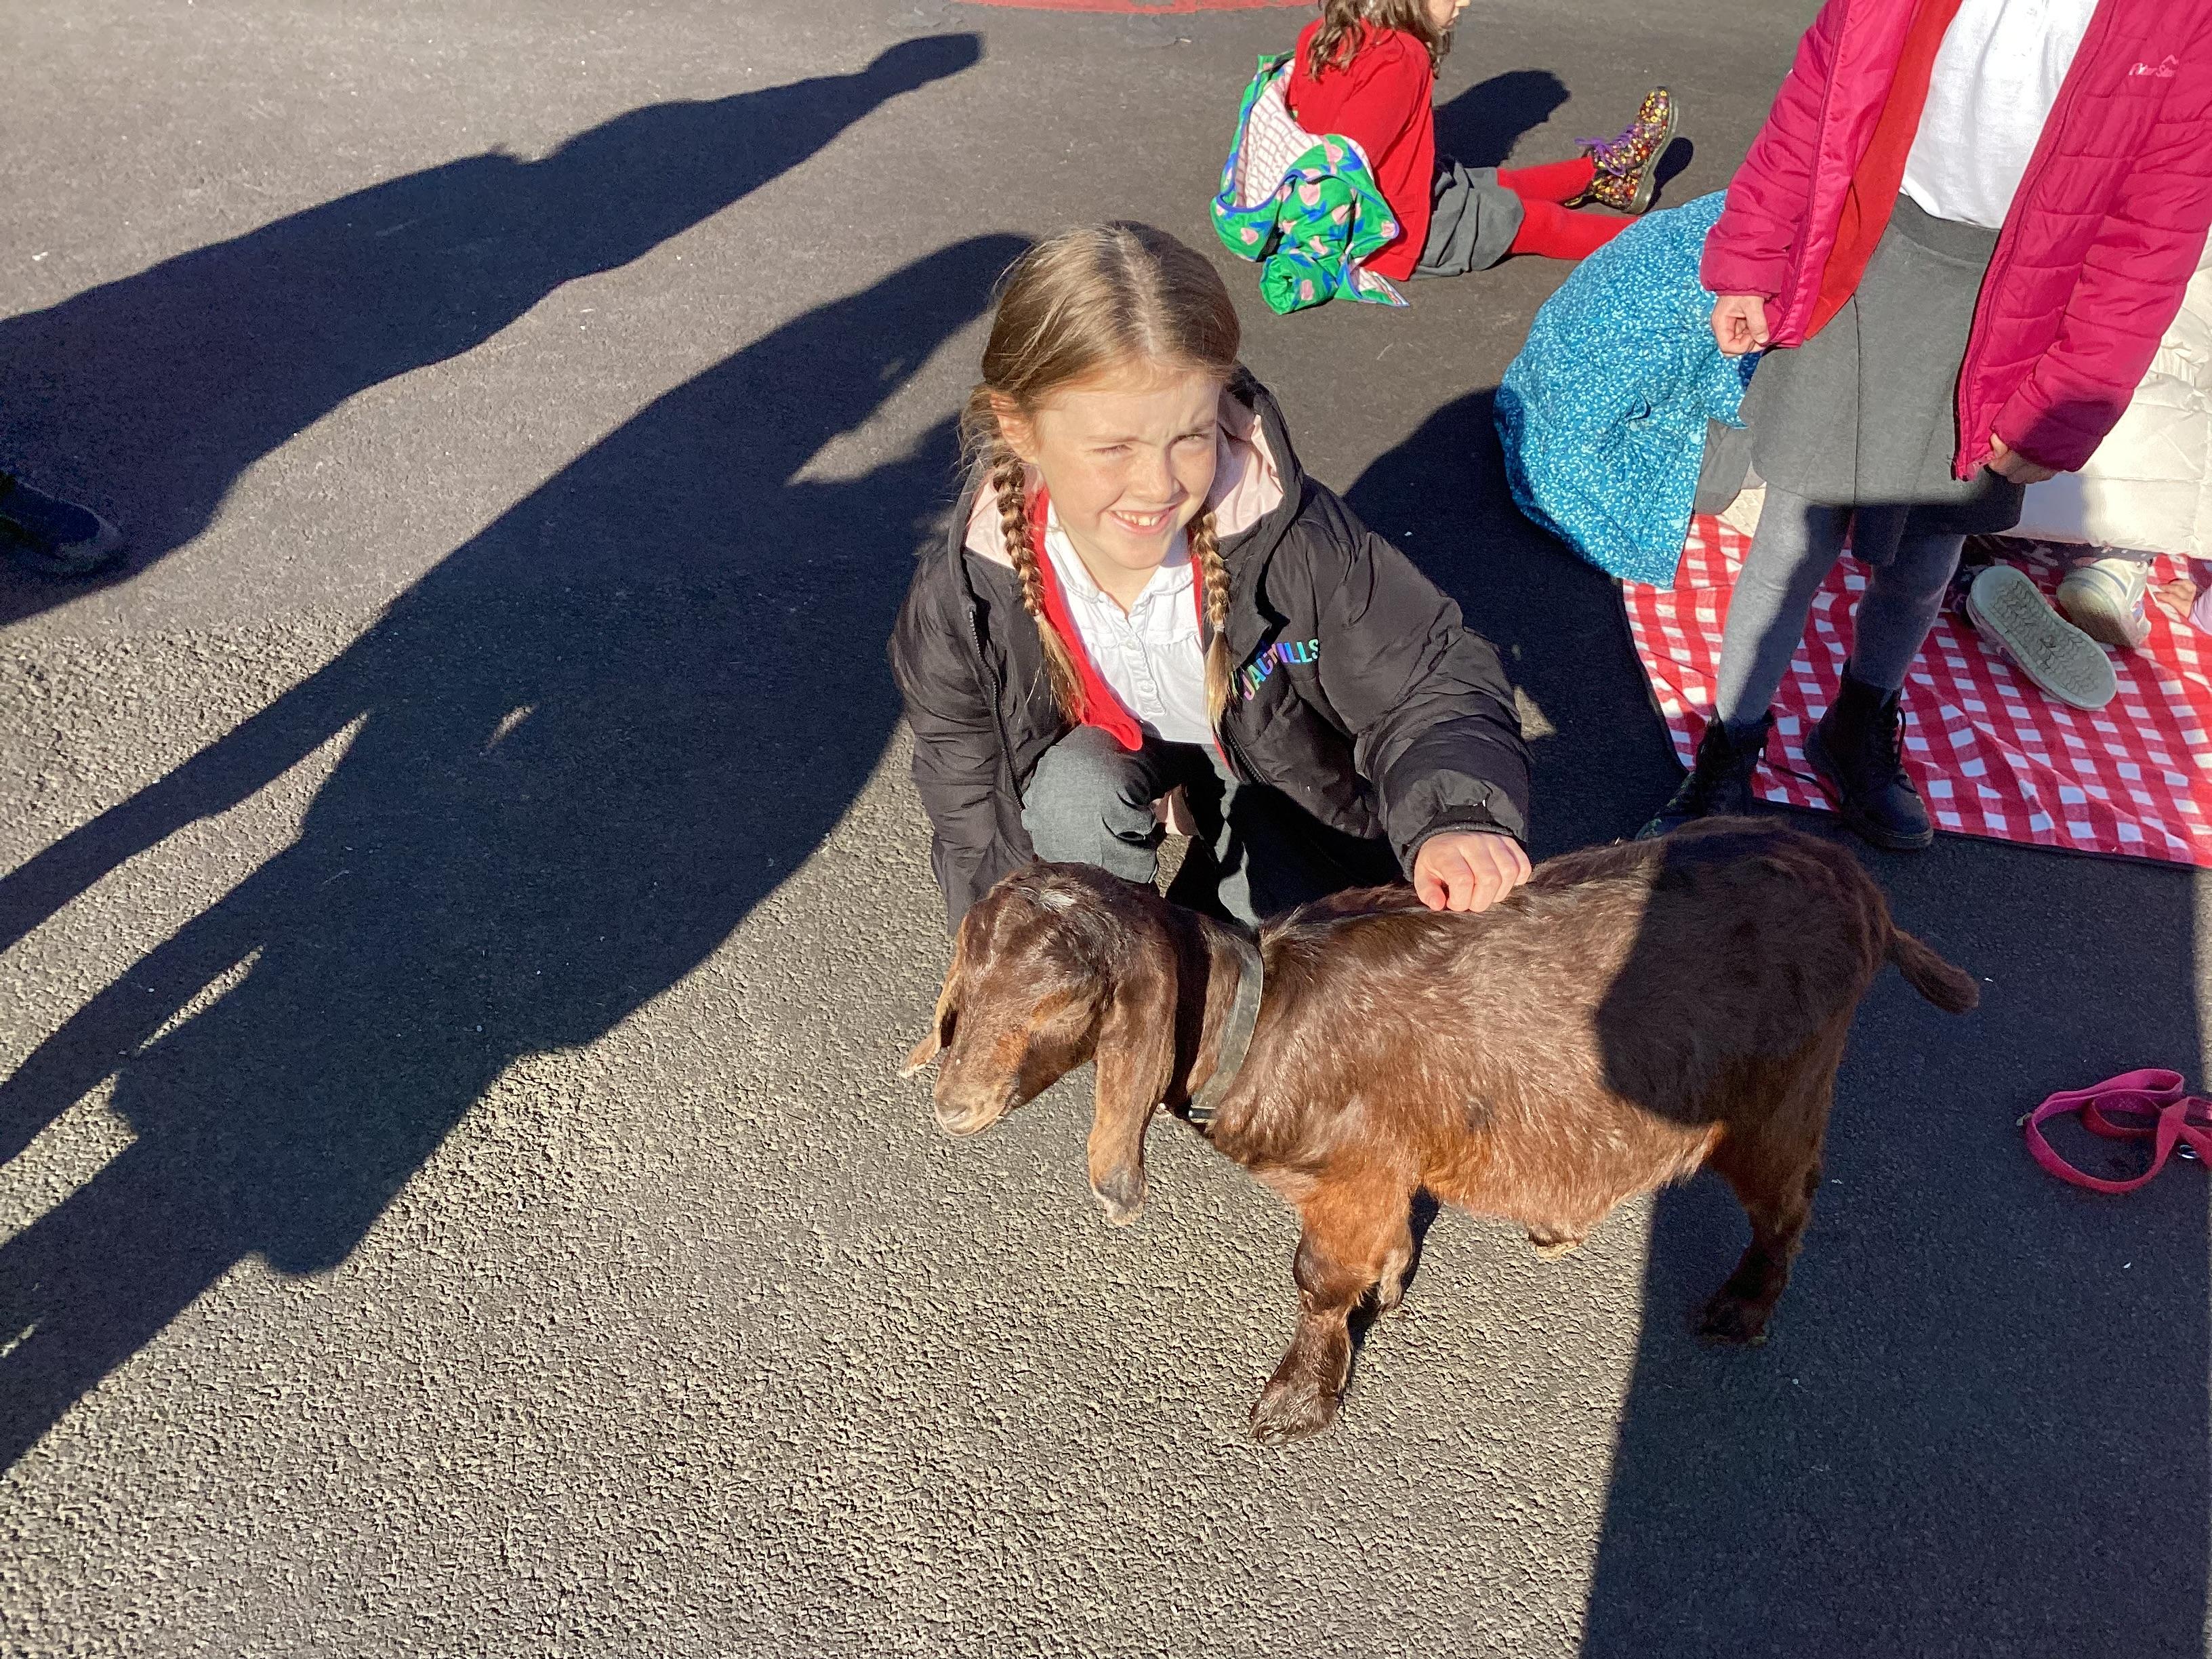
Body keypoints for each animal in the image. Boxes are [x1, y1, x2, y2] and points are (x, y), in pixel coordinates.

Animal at [900, 818, 1978, 1443]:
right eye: (967, 982)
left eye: (1063, 1006)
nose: (952, 1106)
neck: (1265, 1021)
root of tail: (1864, 893)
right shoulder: (1374, 1179)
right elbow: (1374, 1251)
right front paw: (1390, 1283)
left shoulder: (1357, 1175)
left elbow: (1316, 1283)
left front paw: (1298, 1402)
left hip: (1778, 1099)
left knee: (1789, 1204)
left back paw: (1742, 1308)